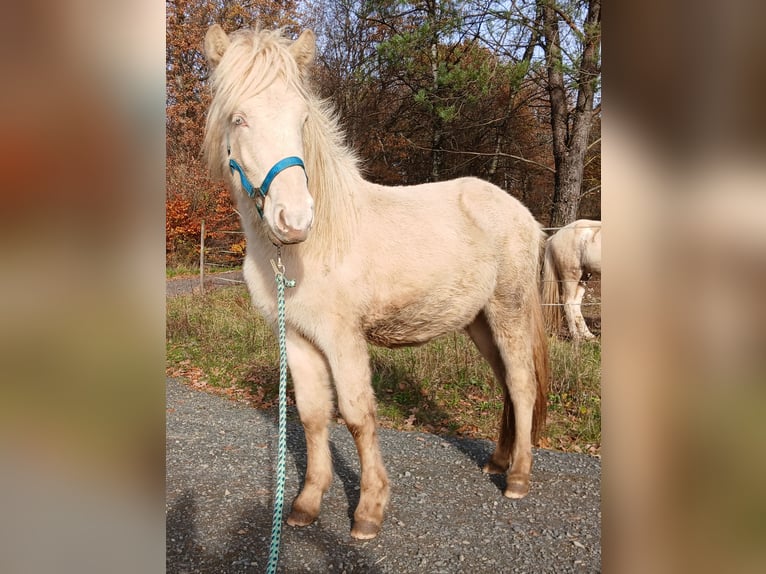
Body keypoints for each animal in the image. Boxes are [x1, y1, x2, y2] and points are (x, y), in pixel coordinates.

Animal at [201, 24, 549, 540]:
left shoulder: (343, 337)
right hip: (479, 322)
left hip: (509, 311)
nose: (294, 219)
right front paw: (306, 503)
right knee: (507, 383)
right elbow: (312, 415)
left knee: (523, 384)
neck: (309, 248)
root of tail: (523, 214)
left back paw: (519, 478)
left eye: (302, 118)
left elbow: (356, 414)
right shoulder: (298, 337)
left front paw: (368, 509)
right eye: (238, 118)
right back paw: (497, 461)